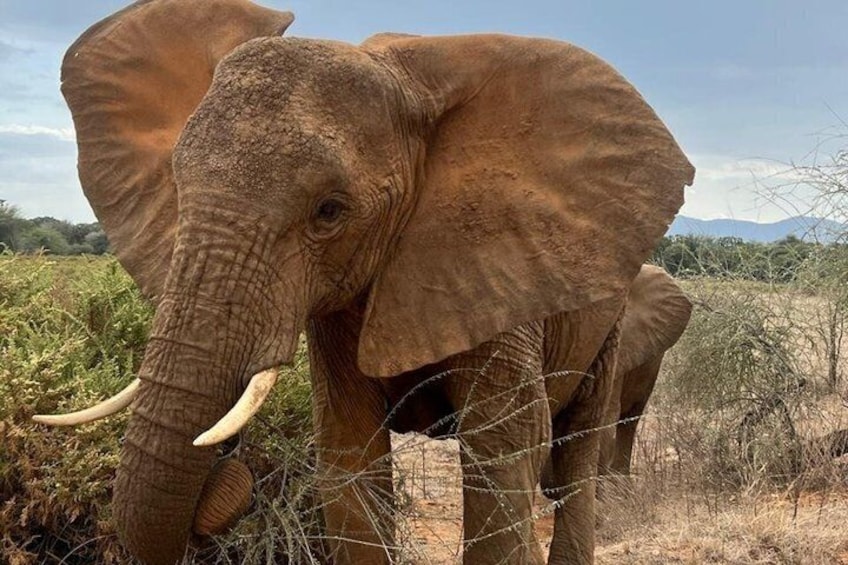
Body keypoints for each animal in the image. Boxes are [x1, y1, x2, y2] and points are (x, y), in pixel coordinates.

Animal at [34, 1, 694, 564]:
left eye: (329, 211)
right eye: (175, 184)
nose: (228, 470)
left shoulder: (497, 278)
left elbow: (502, 455)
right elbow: (351, 458)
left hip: (608, 320)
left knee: (577, 460)